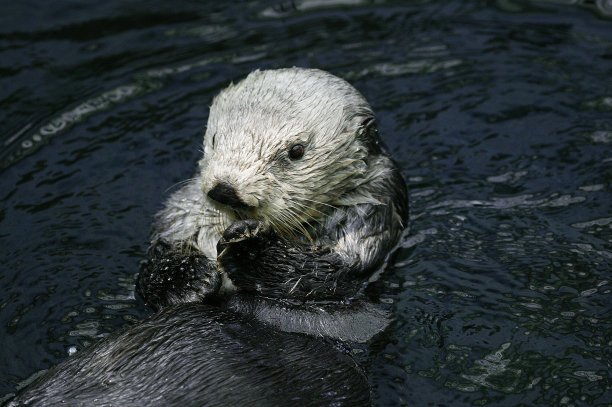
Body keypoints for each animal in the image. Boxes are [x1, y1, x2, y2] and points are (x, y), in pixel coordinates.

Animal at [4, 68, 408, 406]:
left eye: (296, 151)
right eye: (214, 138)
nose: (226, 189)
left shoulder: (368, 225)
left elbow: (325, 276)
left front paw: (249, 249)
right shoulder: (180, 212)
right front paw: (185, 276)